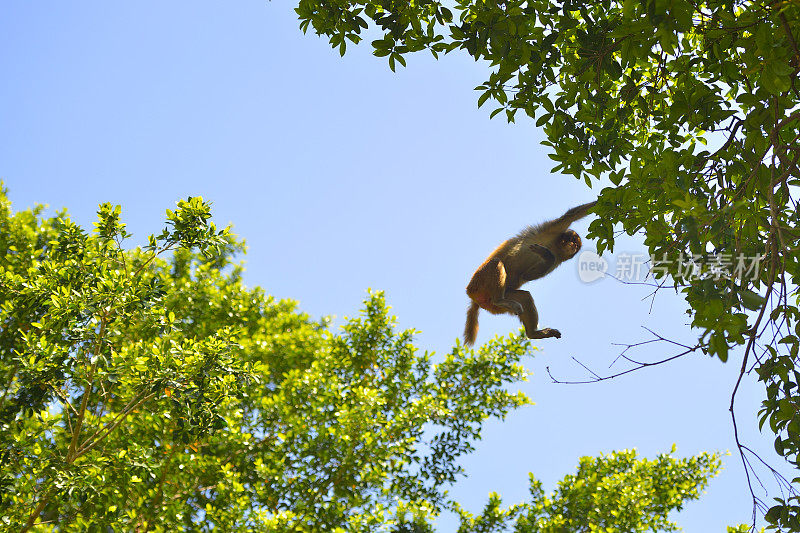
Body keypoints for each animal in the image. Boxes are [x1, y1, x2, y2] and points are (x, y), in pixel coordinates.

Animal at [460, 201, 596, 344]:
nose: (573, 245)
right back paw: (499, 300)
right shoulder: (551, 229)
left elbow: (527, 275)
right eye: (571, 240)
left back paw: (533, 334)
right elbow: (572, 215)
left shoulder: (558, 259)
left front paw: (547, 256)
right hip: (479, 282)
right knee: (497, 262)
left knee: (525, 297)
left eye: (576, 244)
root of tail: (474, 296)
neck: (554, 246)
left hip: (493, 301)